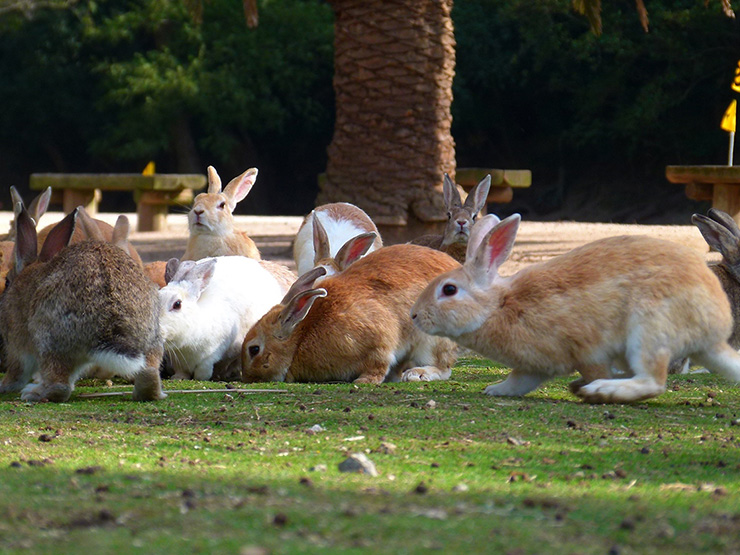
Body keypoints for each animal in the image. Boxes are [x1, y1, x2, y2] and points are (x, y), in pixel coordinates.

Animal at [0, 206, 166, 402]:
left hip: (49, 340)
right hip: (151, 341)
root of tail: (111, 328)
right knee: (149, 374)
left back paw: (34, 393)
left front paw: (5, 386)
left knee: (60, 386)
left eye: (7, 281)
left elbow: (17, 369)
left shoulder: (16, 339)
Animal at [241, 245, 462, 384]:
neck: (299, 339)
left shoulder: (379, 340)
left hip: (431, 340)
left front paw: (365, 381)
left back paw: (417, 374)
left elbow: (378, 362)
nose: (248, 378)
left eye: (254, 349)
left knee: (444, 368)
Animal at [408, 214, 740, 404]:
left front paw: (596, 387)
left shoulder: (586, 350)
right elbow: (518, 381)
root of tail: (712, 332)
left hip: (648, 331)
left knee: (653, 381)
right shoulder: (532, 365)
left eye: (449, 290)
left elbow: (595, 367)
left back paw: (602, 391)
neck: (499, 307)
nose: (413, 315)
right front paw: (495, 390)